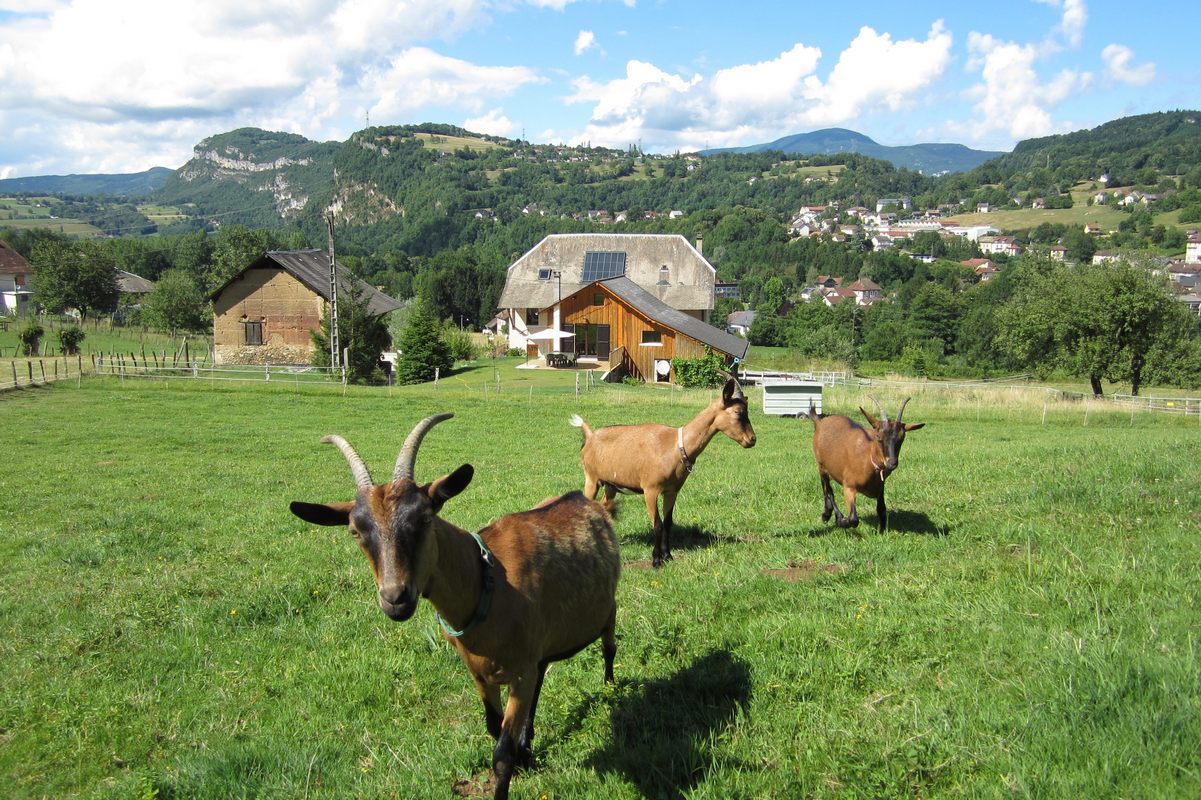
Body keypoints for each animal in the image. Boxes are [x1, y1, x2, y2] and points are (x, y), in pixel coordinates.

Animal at [289, 410, 619, 797]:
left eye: (424, 518)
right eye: (356, 531)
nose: (395, 597)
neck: (488, 581)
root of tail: (591, 502)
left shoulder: (520, 671)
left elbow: (502, 752)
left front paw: (514, 764)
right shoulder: (480, 672)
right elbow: (493, 727)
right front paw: (526, 756)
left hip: (609, 607)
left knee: (609, 644)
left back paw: (610, 686)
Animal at [569, 374, 754, 566]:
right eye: (738, 412)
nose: (752, 439)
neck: (675, 446)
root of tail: (590, 436)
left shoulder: (672, 491)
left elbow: (667, 523)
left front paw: (668, 555)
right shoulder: (650, 490)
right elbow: (657, 524)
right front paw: (656, 559)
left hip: (611, 485)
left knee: (604, 507)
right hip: (591, 479)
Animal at [807, 391, 927, 528]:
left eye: (902, 438)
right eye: (878, 436)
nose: (891, 463)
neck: (868, 460)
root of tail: (819, 422)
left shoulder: (880, 487)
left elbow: (882, 510)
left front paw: (881, 530)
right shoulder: (849, 487)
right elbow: (853, 519)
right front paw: (842, 521)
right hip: (822, 465)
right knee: (828, 489)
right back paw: (830, 515)